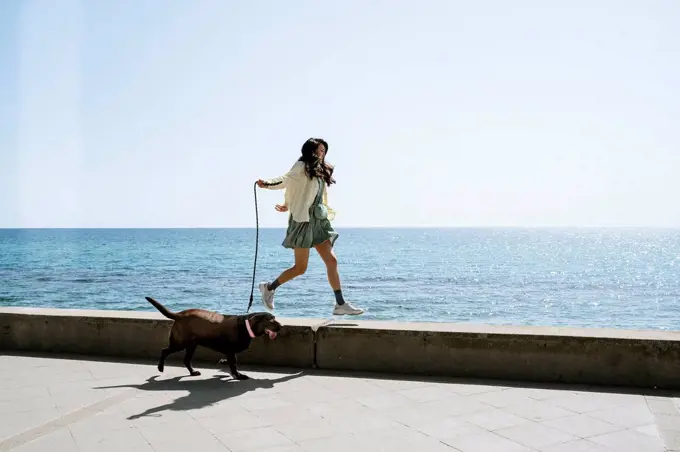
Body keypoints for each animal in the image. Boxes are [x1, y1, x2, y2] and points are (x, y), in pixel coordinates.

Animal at [145, 294, 280, 380]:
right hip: (179, 342)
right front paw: (238, 375)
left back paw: (193, 372)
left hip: (191, 345)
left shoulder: (230, 352)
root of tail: (179, 315)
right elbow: (234, 365)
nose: (280, 326)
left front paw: (225, 365)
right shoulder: (231, 351)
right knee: (164, 351)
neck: (246, 326)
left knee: (186, 360)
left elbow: (230, 362)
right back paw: (160, 367)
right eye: (271, 320)